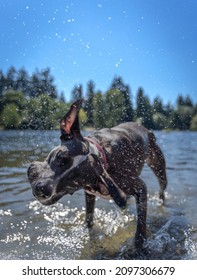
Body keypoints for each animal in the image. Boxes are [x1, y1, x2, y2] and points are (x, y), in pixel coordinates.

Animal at [27, 99, 166, 248]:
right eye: (59, 157)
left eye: (74, 180)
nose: (41, 188)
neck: (102, 154)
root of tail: (145, 128)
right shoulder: (89, 194)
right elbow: (89, 219)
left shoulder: (138, 187)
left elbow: (140, 226)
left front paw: (139, 246)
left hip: (158, 166)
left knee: (162, 188)